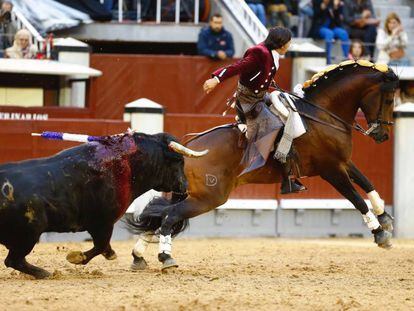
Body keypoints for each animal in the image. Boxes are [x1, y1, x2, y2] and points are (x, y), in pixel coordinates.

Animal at [0, 133, 206, 280]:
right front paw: (80, 257)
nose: (185, 187)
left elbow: (101, 245)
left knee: (13, 260)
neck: (128, 165)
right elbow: (100, 245)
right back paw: (44, 273)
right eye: (179, 161)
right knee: (13, 260)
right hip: (29, 234)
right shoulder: (103, 223)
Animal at [126, 60, 398, 270]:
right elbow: (355, 197)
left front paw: (385, 217)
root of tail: (187, 148)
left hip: (189, 192)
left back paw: (139, 257)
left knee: (160, 215)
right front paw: (380, 234)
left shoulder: (343, 162)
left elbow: (366, 182)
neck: (321, 114)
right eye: (388, 99)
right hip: (209, 197)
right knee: (170, 215)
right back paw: (166, 258)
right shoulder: (330, 169)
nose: (382, 135)